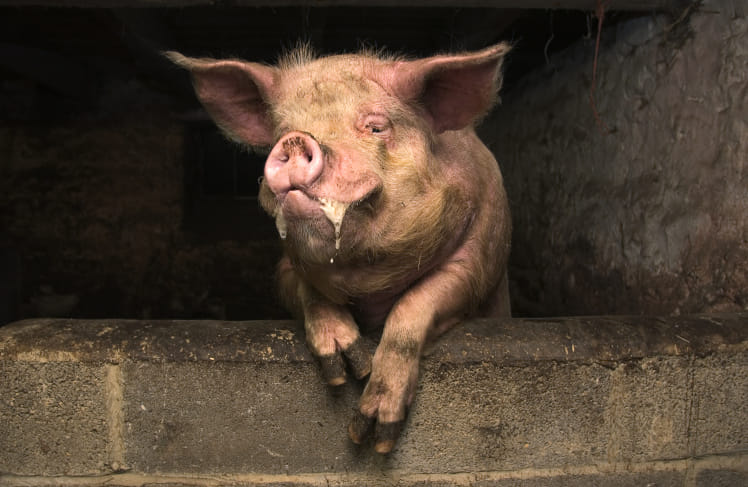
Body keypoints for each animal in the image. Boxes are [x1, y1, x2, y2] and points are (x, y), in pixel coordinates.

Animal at [167, 42, 512, 454]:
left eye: (376, 126)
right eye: (281, 131)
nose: (296, 140)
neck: (365, 276)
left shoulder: (481, 259)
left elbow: (419, 301)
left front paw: (375, 435)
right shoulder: (283, 268)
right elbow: (308, 291)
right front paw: (345, 368)